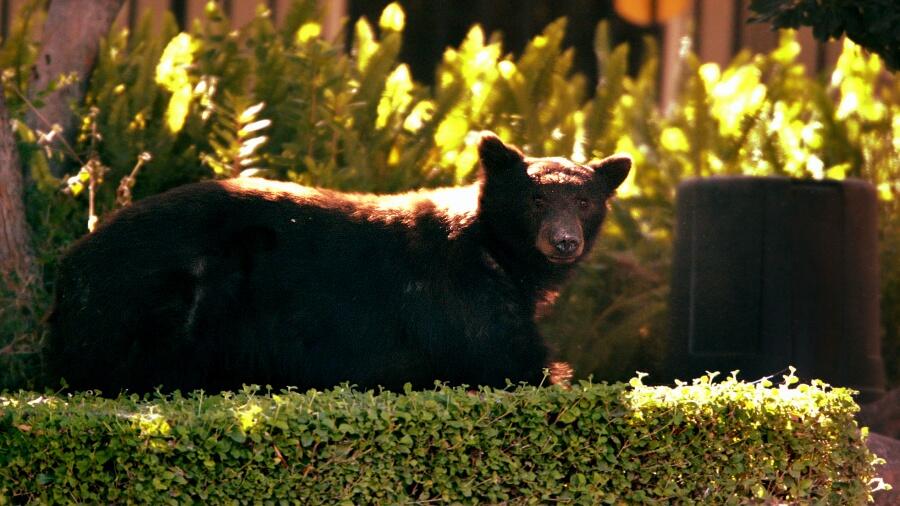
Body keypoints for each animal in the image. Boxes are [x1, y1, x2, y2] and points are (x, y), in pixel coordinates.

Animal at [45, 134, 628, 396]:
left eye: (583, 201)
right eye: (535, 199)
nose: (563, 241)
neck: (497, 253)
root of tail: (71, 263)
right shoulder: (460, 298)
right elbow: (511, 364)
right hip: (162, 290)